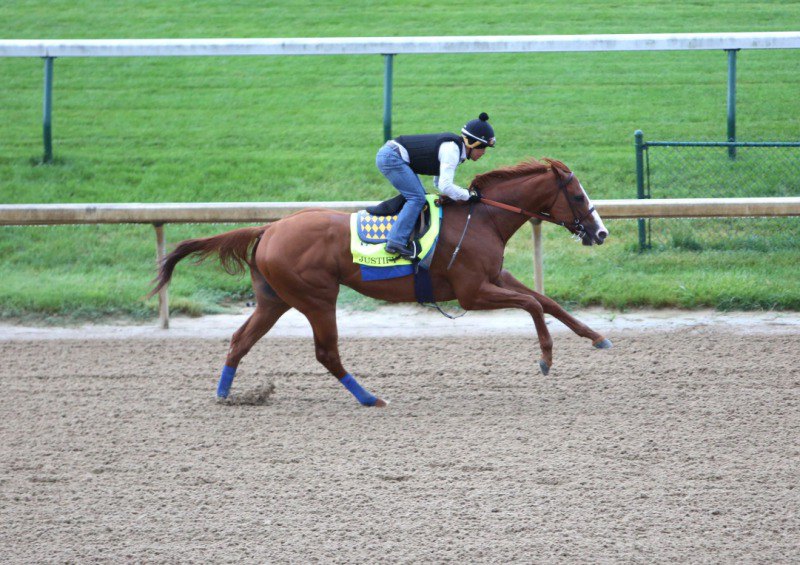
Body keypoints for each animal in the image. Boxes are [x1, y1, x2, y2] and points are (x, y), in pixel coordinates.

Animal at [150, 158, 608, 406]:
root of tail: (268, 228)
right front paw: (546, 358)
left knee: (239, 341)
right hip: (317, 297)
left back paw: (226, 394)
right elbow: (532, 305)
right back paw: (371, 397)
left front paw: (598, 337)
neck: (483, 217)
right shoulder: (471, 293)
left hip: (274, 299)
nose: (600, 232)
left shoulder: (496, 277)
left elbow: (547, 302)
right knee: (326, 353)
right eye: (578, 197)